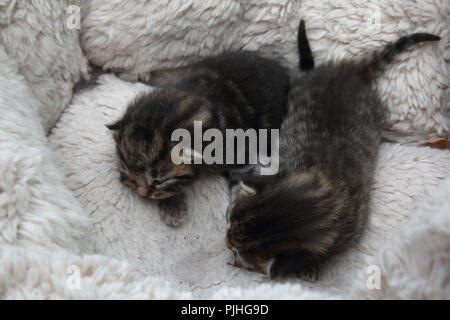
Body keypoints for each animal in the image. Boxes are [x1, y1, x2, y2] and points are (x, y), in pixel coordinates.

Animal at [109, 50, 292, 228]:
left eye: (160, 180)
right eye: (126, 170)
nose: (141, 194)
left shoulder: (239, 148)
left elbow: (241, 174)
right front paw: (172, 206)